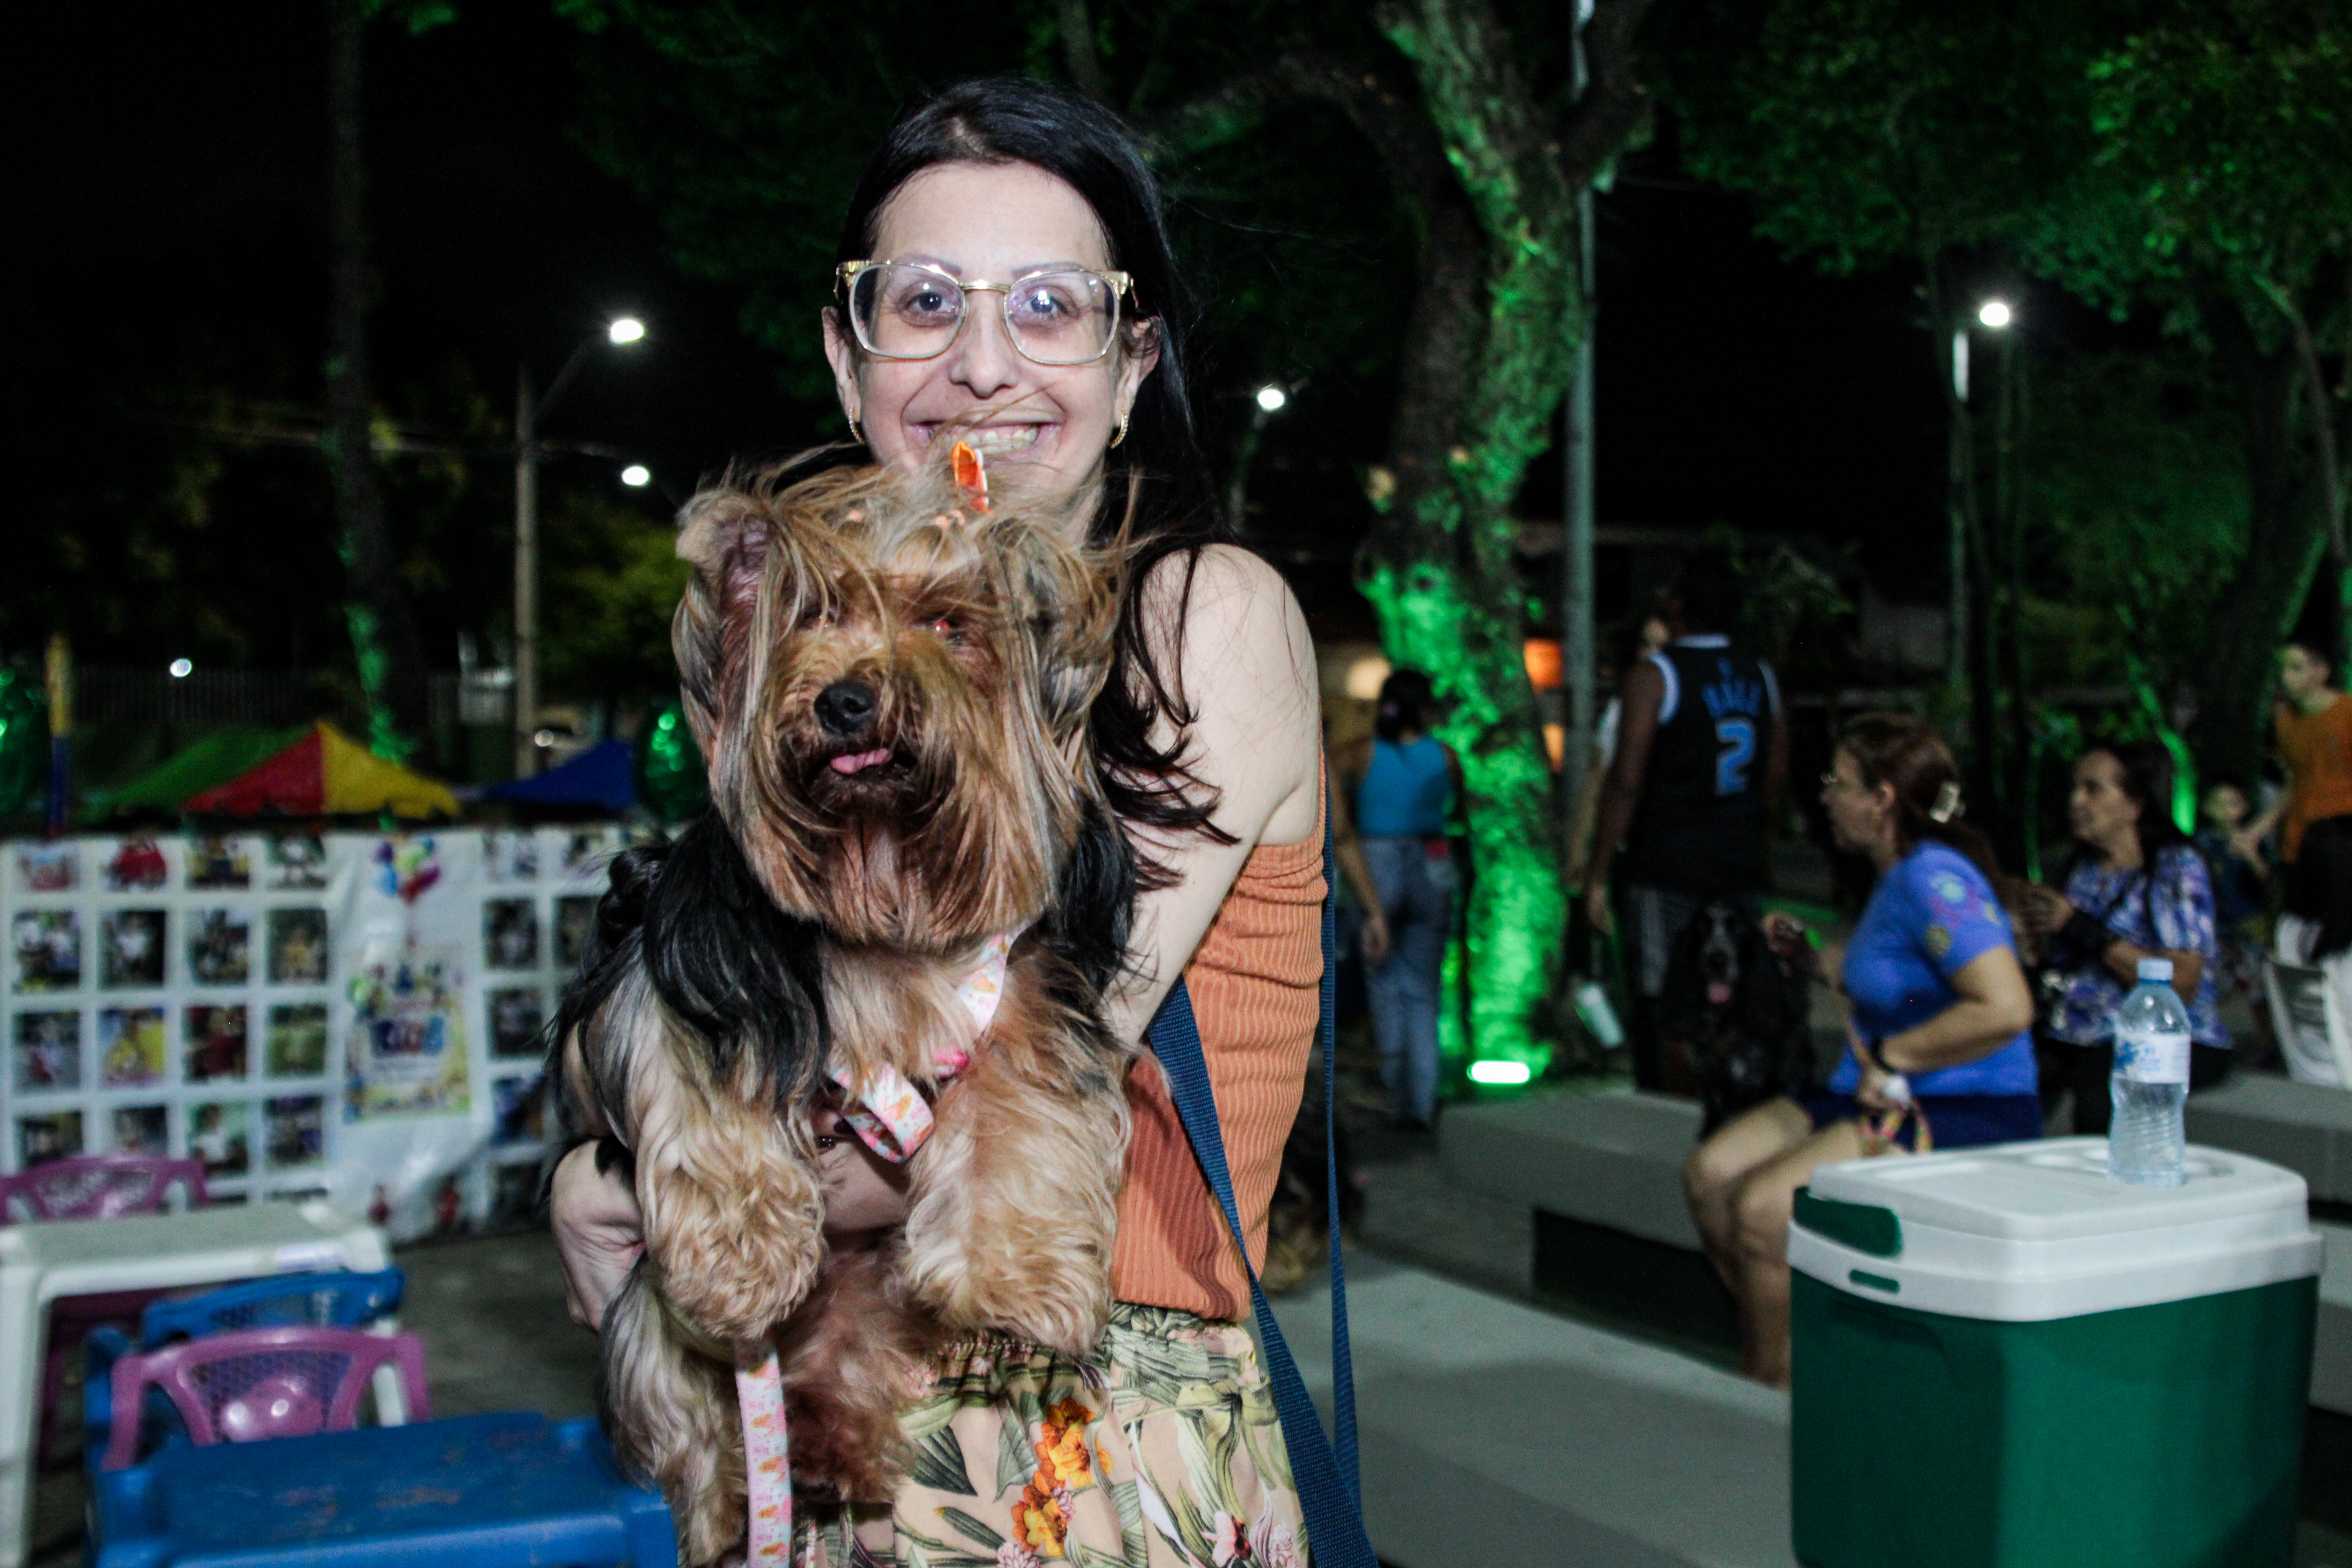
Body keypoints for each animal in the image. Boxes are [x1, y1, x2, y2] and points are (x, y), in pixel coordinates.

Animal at [555, 446, 1133, 1561]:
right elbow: (709, 1082)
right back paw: (727, 1501)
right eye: (815, 614)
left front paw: (1024, 1278)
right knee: (683, 1414)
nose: (850, 702)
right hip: (649, 1325)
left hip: (863, 1300)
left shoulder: (1023, 991)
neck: (881, 859)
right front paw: (740, 1262)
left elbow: (1022, 1109)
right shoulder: (701, 965)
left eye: (951, 624)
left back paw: (828, 1460)